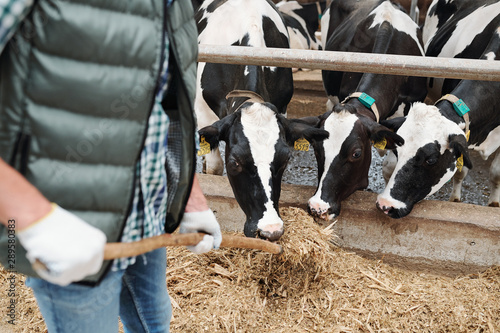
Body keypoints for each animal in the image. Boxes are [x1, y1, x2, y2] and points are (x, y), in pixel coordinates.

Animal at [194, 0, 328, 239]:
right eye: (234, 163)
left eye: (285, 160)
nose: (270, 230)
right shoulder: (202, 112)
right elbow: (215, 166)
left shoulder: (282, 108)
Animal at [376, 0, 500, 218]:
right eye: (398, 151)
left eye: (431, 160)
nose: (385, 205)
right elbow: (461, 169)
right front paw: (455, 200)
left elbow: (496, 173)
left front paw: (494, 204)